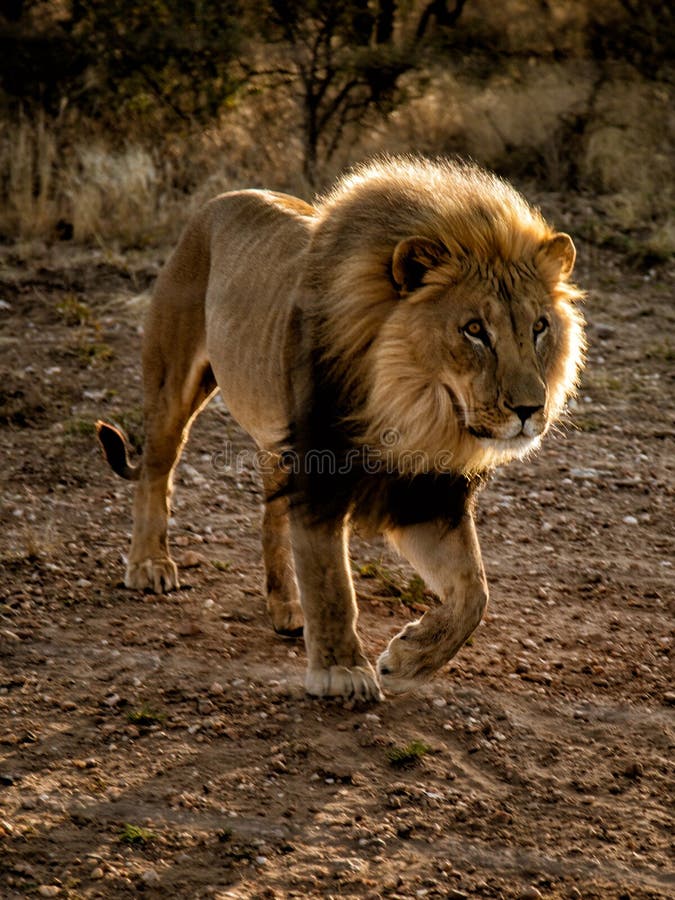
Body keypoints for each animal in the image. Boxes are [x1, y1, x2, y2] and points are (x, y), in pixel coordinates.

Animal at [97, 156, 585, 702]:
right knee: (155, 473)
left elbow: (473, 593)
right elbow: (331, 579)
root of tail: (221, 201)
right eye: (475, 330)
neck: (411, 408)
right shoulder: (320, 469)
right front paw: (342, 671)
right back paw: (148, 565)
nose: (529, 408)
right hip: (172, 384)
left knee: (271, 519)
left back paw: (287, 609)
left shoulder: (426, 490)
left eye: (539, 327)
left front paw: (410, 657)